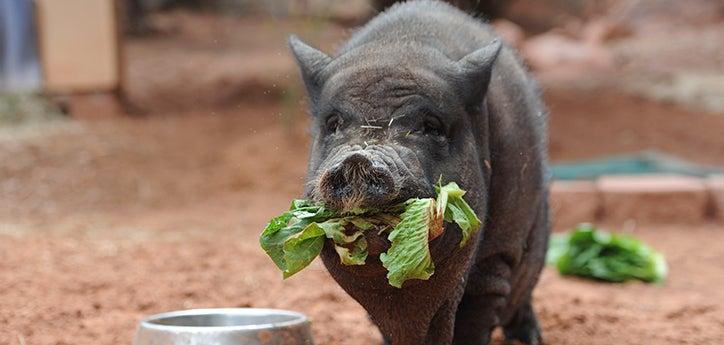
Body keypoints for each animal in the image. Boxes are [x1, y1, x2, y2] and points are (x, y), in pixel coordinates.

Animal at [288, 0, 548, 344]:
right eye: (333, 124)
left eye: (431, 126)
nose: (358, 159)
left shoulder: (496, 260)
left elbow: (478, 308)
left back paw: (531, 338)